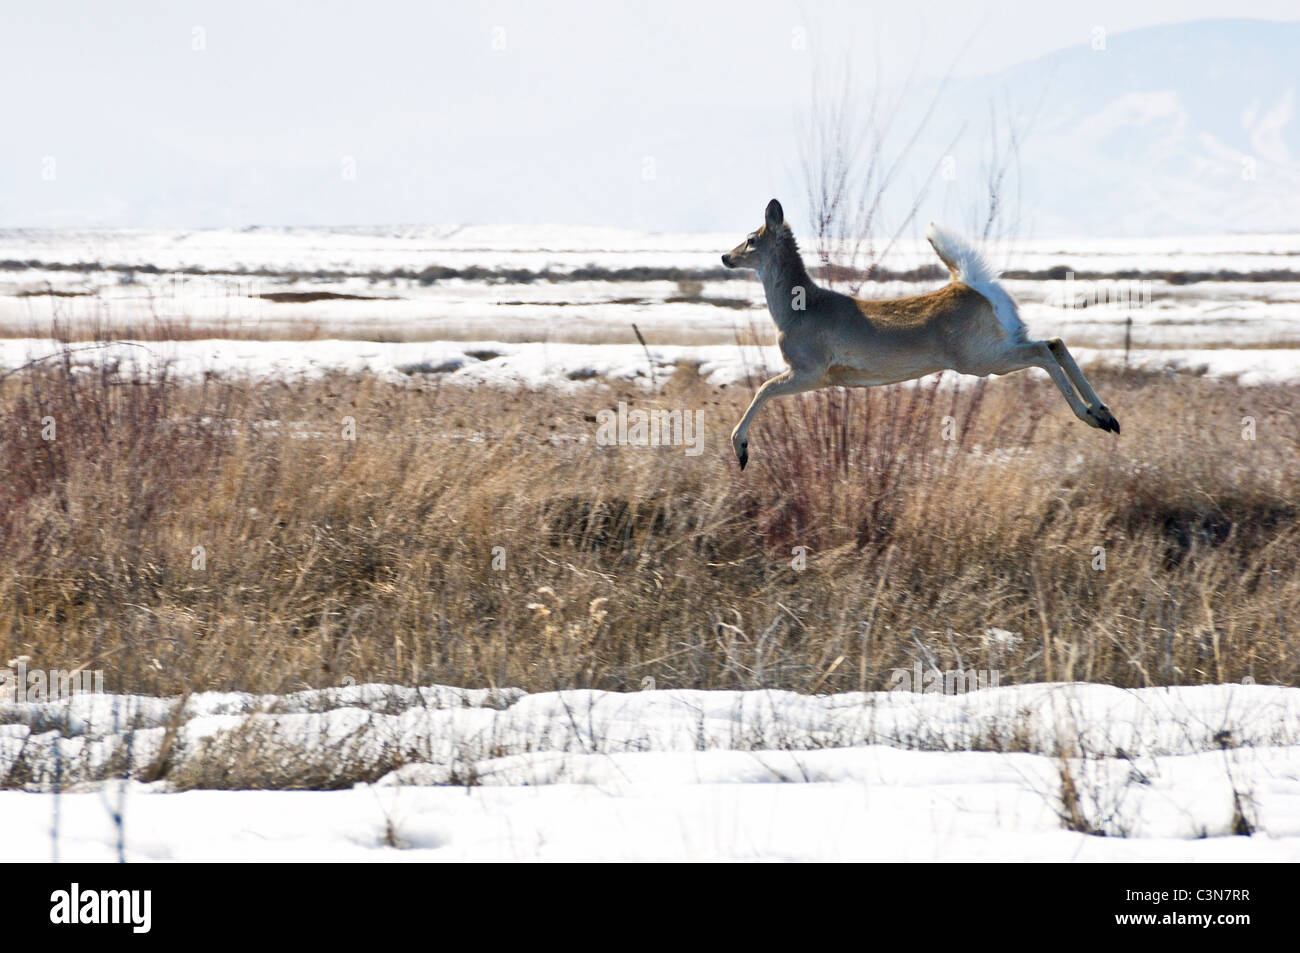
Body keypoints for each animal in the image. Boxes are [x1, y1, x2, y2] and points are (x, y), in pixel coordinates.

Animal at [722, 200, 1118, 468]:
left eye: (751, 239)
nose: (726, 256)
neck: (796, 311)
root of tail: (973, 285)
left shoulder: (812, 370)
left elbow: (763, 388)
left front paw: (741, 450)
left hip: (979, 357)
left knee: (1044, 352)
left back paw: (1093, 417)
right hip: (1001, 341)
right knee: (1054, 342)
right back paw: (1106, 416)